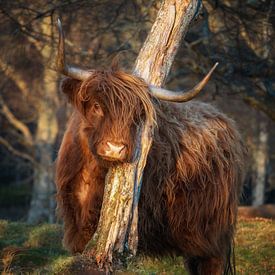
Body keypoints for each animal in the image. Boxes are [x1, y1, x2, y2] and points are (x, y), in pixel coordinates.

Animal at [54, 21, 246, 274]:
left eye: (137, 115)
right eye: (96, 106)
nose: (115, 148)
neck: (90, 174)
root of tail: (225, 121)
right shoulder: (76, 225)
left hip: (212, 234)